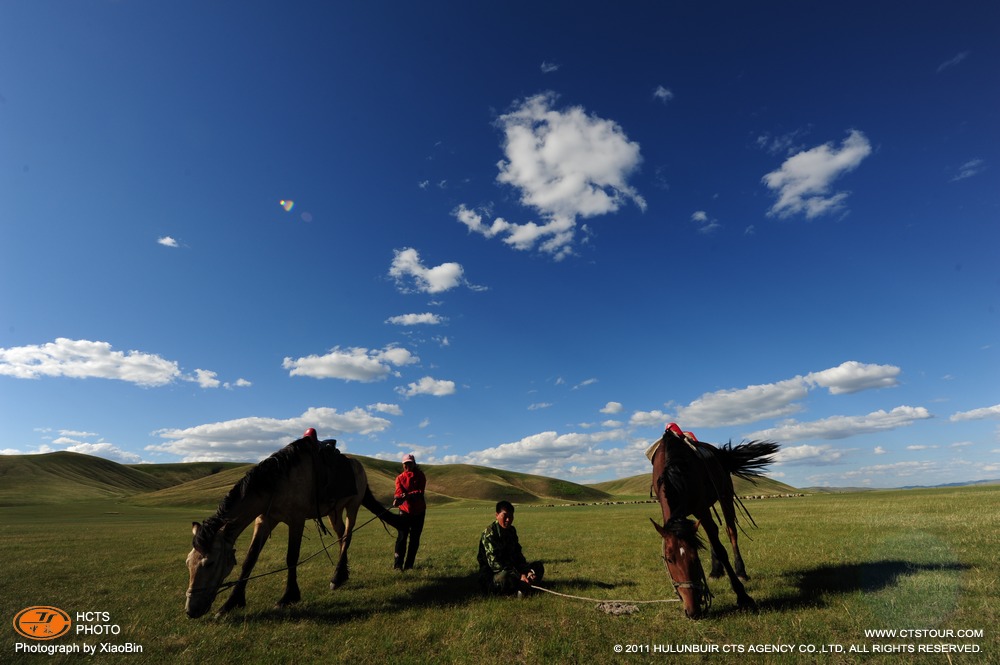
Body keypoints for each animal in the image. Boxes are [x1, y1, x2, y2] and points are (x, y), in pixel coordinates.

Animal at [186, 438, 396, 620]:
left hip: (353, 506)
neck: (276, 483)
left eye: (210, 563)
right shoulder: (264, 520)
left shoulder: (296, 520)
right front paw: (231, 603)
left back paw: (337, 577)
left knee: (347, 536)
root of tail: (358, 465)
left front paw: (289, 596)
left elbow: (291, 557)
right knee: (341, 535)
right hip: (334, 511)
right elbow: (250, 559)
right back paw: (342, 574)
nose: (190, 610)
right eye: (188, 563)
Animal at [648, 426, 780, 616]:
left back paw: (740, 571)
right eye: (669, 559)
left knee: (730, 531)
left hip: (725, 495)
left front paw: (743, 597)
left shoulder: (701, 507)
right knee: (713, 532)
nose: (693, 610)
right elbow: (712, 536)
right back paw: (715, 571)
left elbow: (721, 547)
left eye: (695, 558)